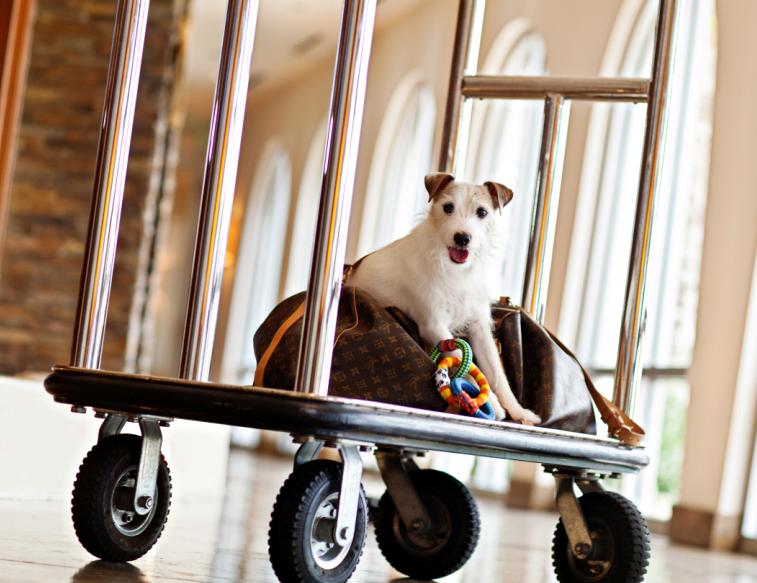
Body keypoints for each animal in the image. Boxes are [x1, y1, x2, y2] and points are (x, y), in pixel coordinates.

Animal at [346, 172, 540, 424]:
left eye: (482, 212)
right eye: (448, 207)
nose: (462, 238)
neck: (455, 270)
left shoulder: (479, 328)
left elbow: (497, 374)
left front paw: (518, 411)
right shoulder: (434, 325)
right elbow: (464, 359)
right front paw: (492, 404)